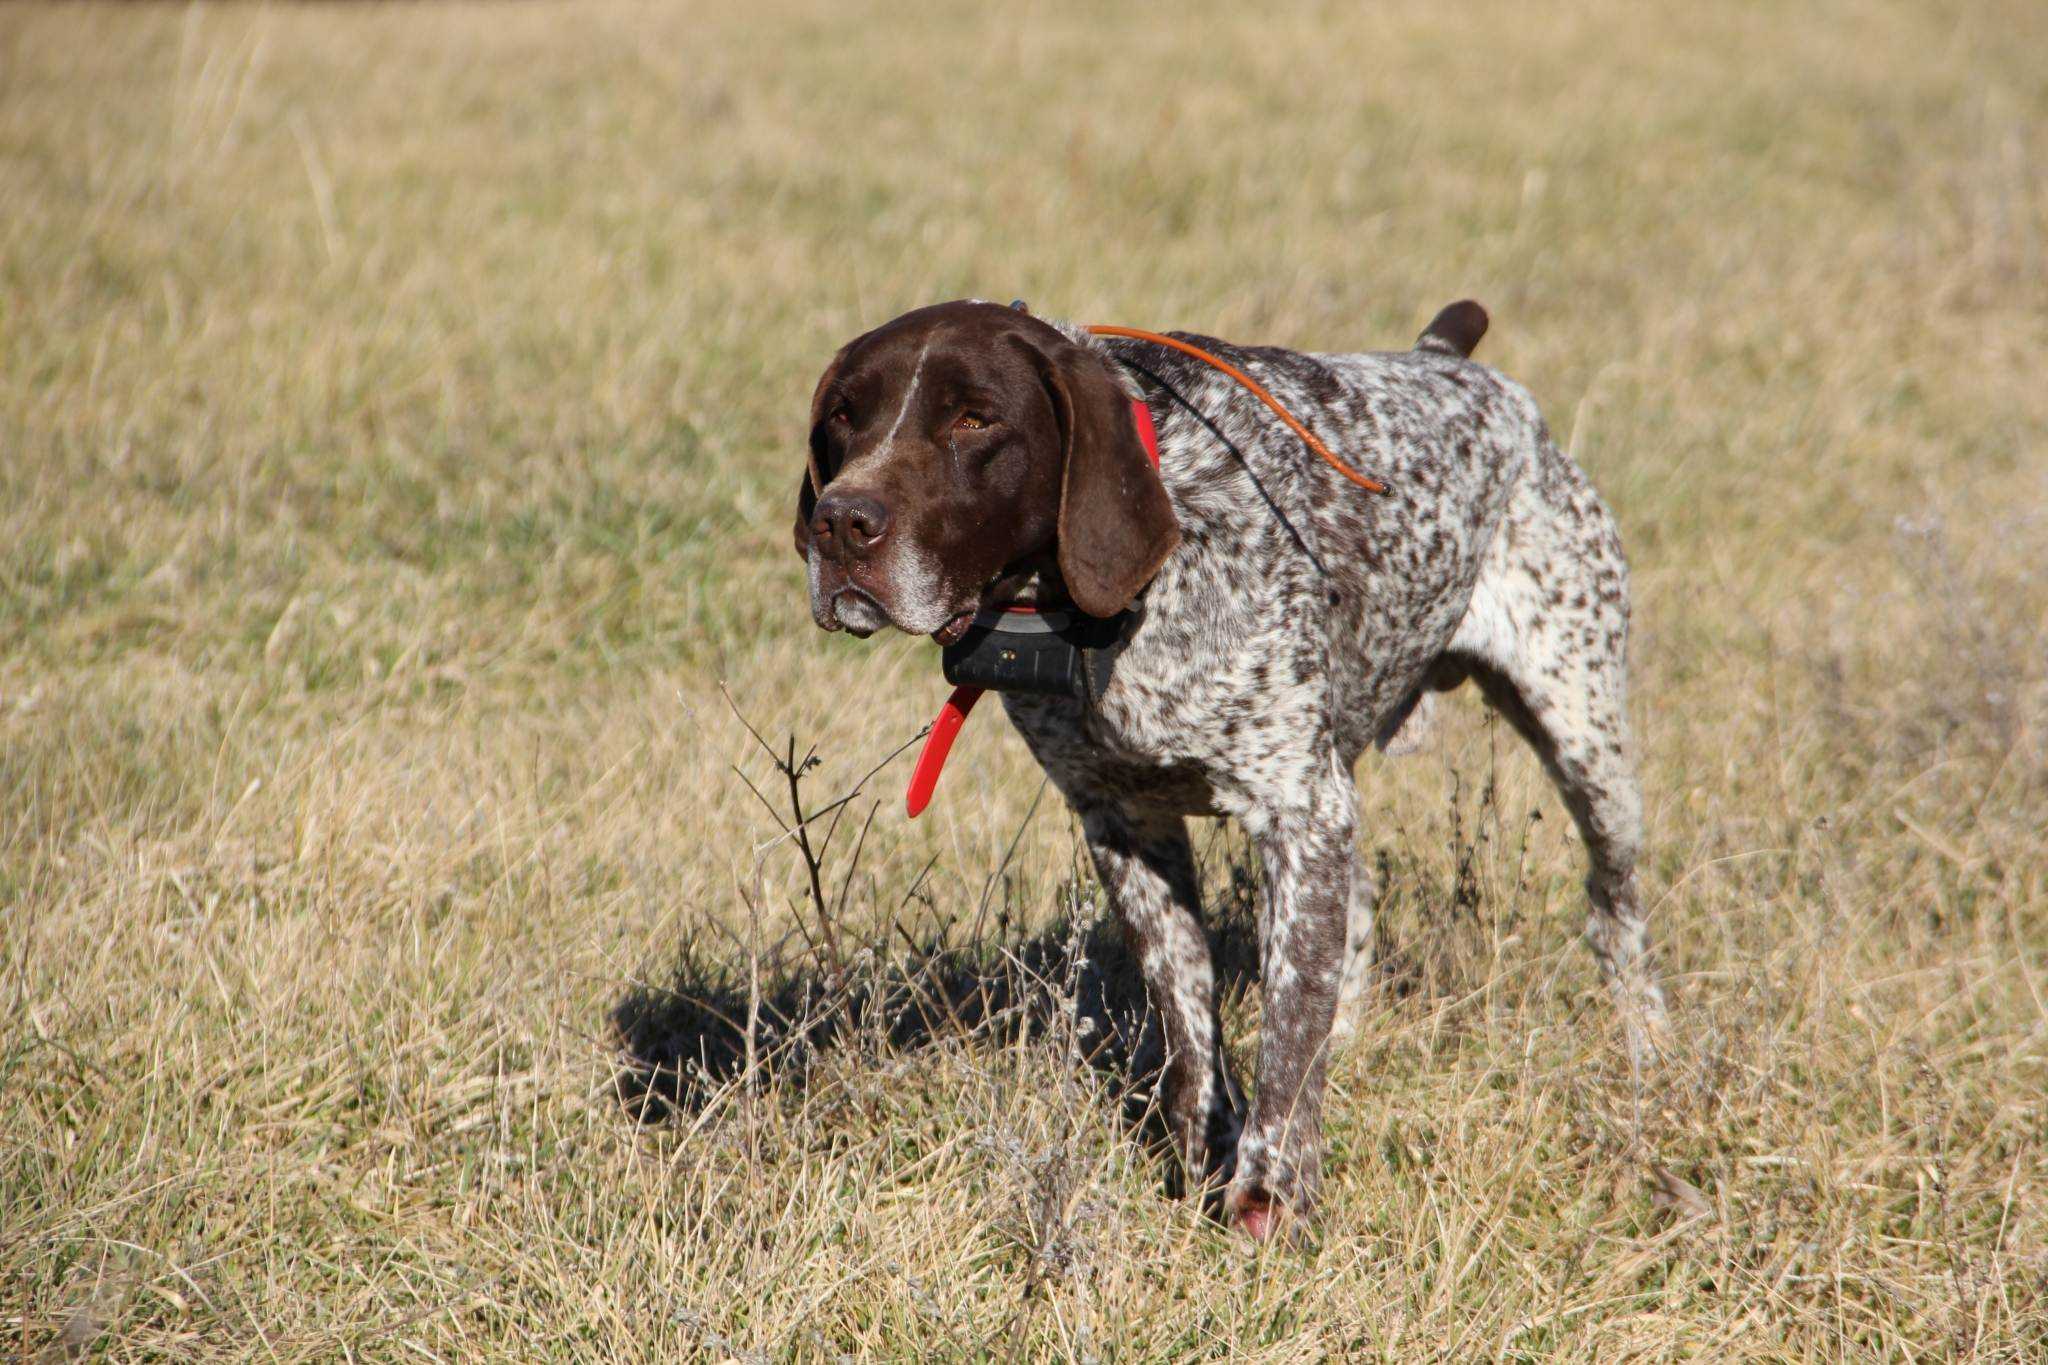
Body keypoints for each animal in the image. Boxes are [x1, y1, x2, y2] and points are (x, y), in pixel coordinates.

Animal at [790, 298, 1671, 1236]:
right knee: (1351, 918)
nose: (841, 523)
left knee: (1611, 908)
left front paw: (1268, 1195)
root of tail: (1458, 367)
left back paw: (1647, 1042)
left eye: (974, 418)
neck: (1109, 617)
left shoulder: (1297, 808)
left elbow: (1286, 1025)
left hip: (1585, 741)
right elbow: (1190, 1015)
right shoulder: (1125, 824)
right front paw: (1202, 1155)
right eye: (844, 416)